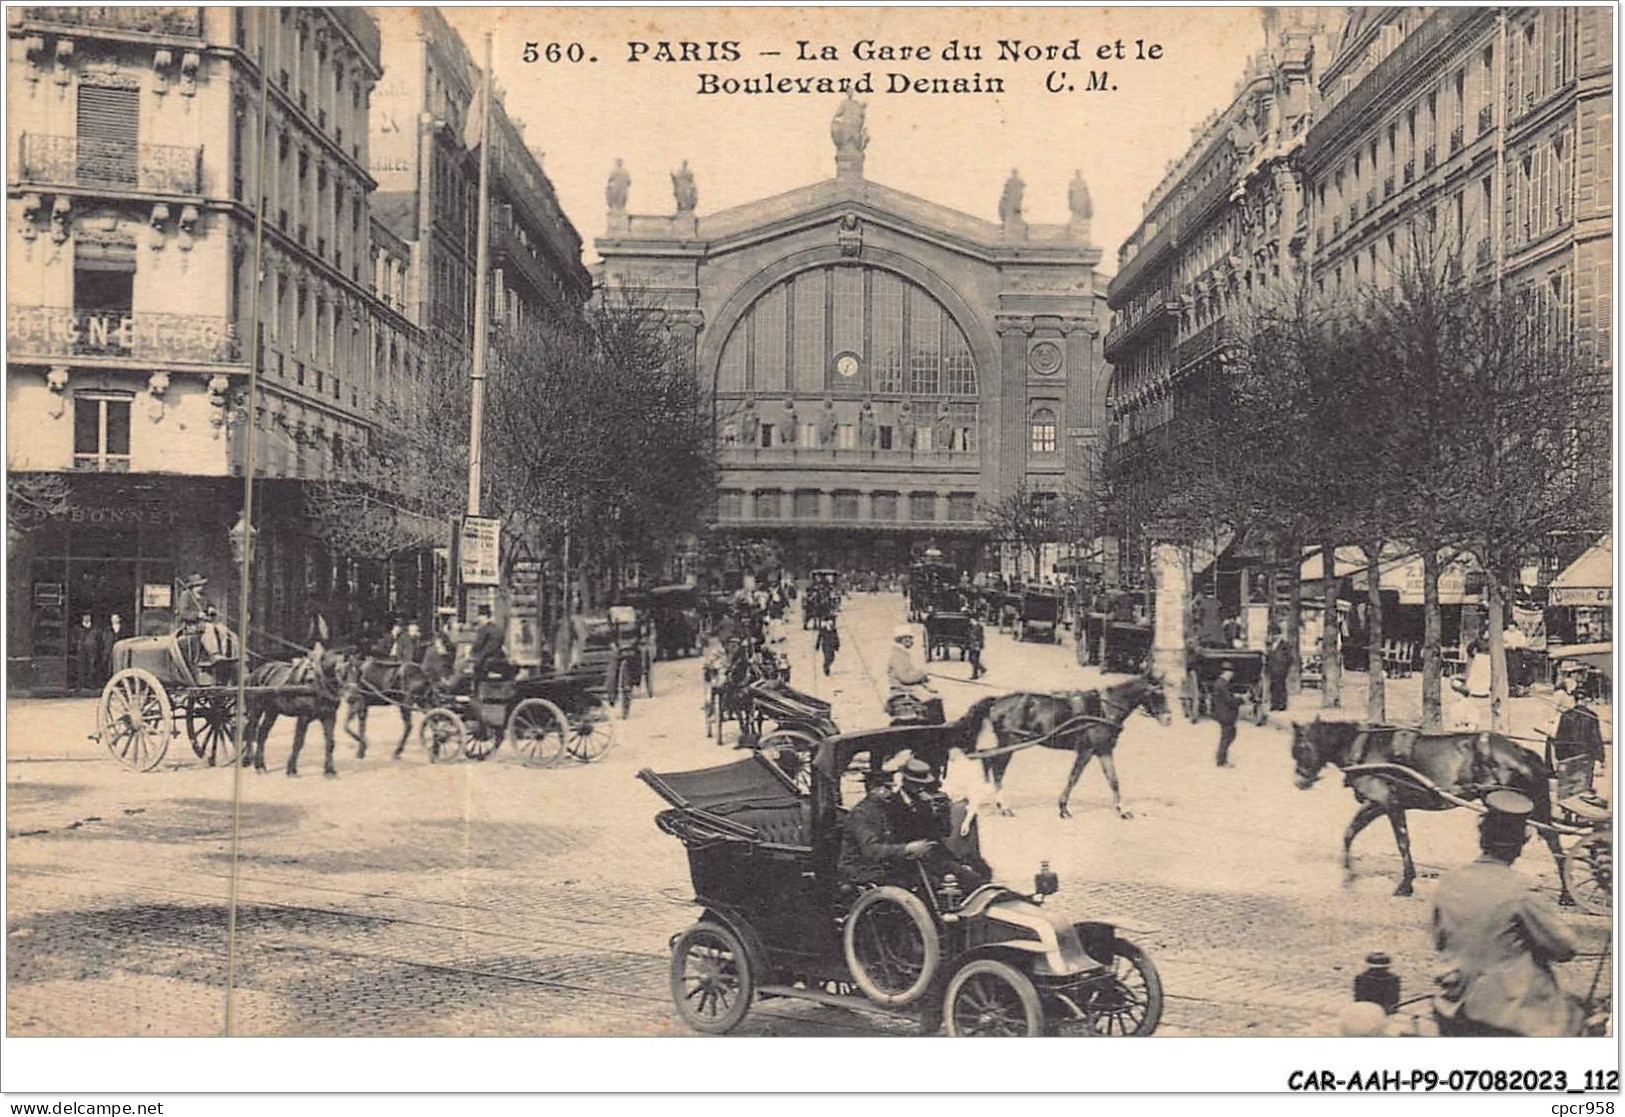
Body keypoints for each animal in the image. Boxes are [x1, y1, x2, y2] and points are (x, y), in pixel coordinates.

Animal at [968, 673, 1176, 822]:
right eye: (1155, 693)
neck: (1105, 709)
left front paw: (1122, 810)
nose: (1168, 719)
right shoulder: (1086, 750)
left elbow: (1113, 780)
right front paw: (1063, 808)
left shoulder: (1103, 750)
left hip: (1005, 743)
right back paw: (1004, 807)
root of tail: (997, 702)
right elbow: (1074, 777)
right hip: (1010, 742)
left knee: (987, 760)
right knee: (997, 770)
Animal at [1280, 721, 1573, 904]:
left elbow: (1402, 842)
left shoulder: (1388, 804)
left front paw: (1405, 884)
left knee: (1552, 844)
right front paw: (1348, 876)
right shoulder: (1377, 806)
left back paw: (1566, 895)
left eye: (1302, 748)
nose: (1299, 782)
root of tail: (1521, 751)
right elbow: (1350, 833)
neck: (1365, 747)